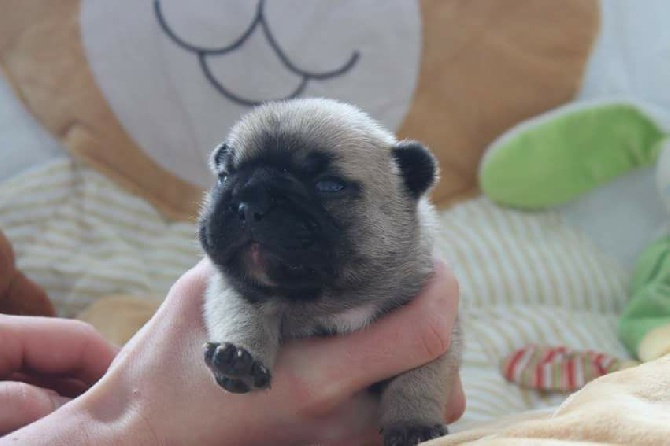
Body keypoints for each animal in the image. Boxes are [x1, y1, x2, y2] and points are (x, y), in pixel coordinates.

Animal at [198, 98, 462, 446]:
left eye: (329, 186)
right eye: (224, 176)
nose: (249, 203)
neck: (331, 299)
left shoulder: (439, 333)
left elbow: (419, 378)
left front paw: (413, 423)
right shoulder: (234, 290)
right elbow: (241, 316)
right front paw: (238, 358)